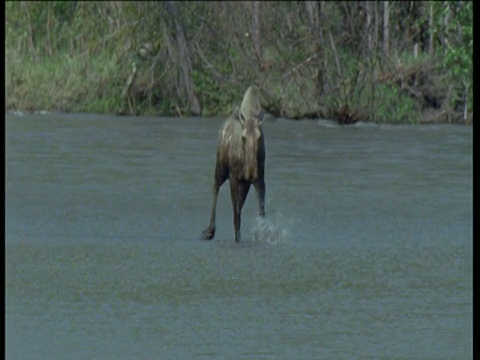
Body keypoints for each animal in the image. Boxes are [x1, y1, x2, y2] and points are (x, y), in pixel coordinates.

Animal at [200, 86, 264, 243]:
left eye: (259, 137)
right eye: (243, 137)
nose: (251, 171)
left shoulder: (259, 178)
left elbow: (261, 210)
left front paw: (261, 234)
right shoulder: (234, 177)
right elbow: (236, 214)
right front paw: (237, 238)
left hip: (244, 182)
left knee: (239, 204)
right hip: (221, 170)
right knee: (215, 187)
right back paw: (210, 231)